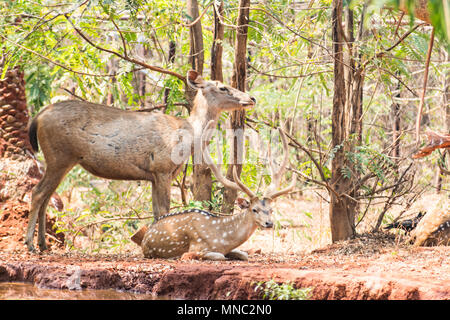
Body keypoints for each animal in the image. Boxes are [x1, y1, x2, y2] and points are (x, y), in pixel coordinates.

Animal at [26, 70, 255, 252]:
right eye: (223, 87)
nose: (251, 98)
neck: (188, 136)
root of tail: (38, 117)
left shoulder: (154, 175)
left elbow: (156, 212)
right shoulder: (162, 168)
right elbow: (164, 211)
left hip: (60, 160)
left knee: (47, 197)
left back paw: (43, 244)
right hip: (59, 156)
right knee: (37, 193)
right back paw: (30, 245)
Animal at [132, 127, 298, 260]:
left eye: (271, 210)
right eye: (254, 209)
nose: (269, 223)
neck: (222, 238)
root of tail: (146, 233)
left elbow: (243, 254)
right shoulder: (198, 247)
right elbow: (218, 256)